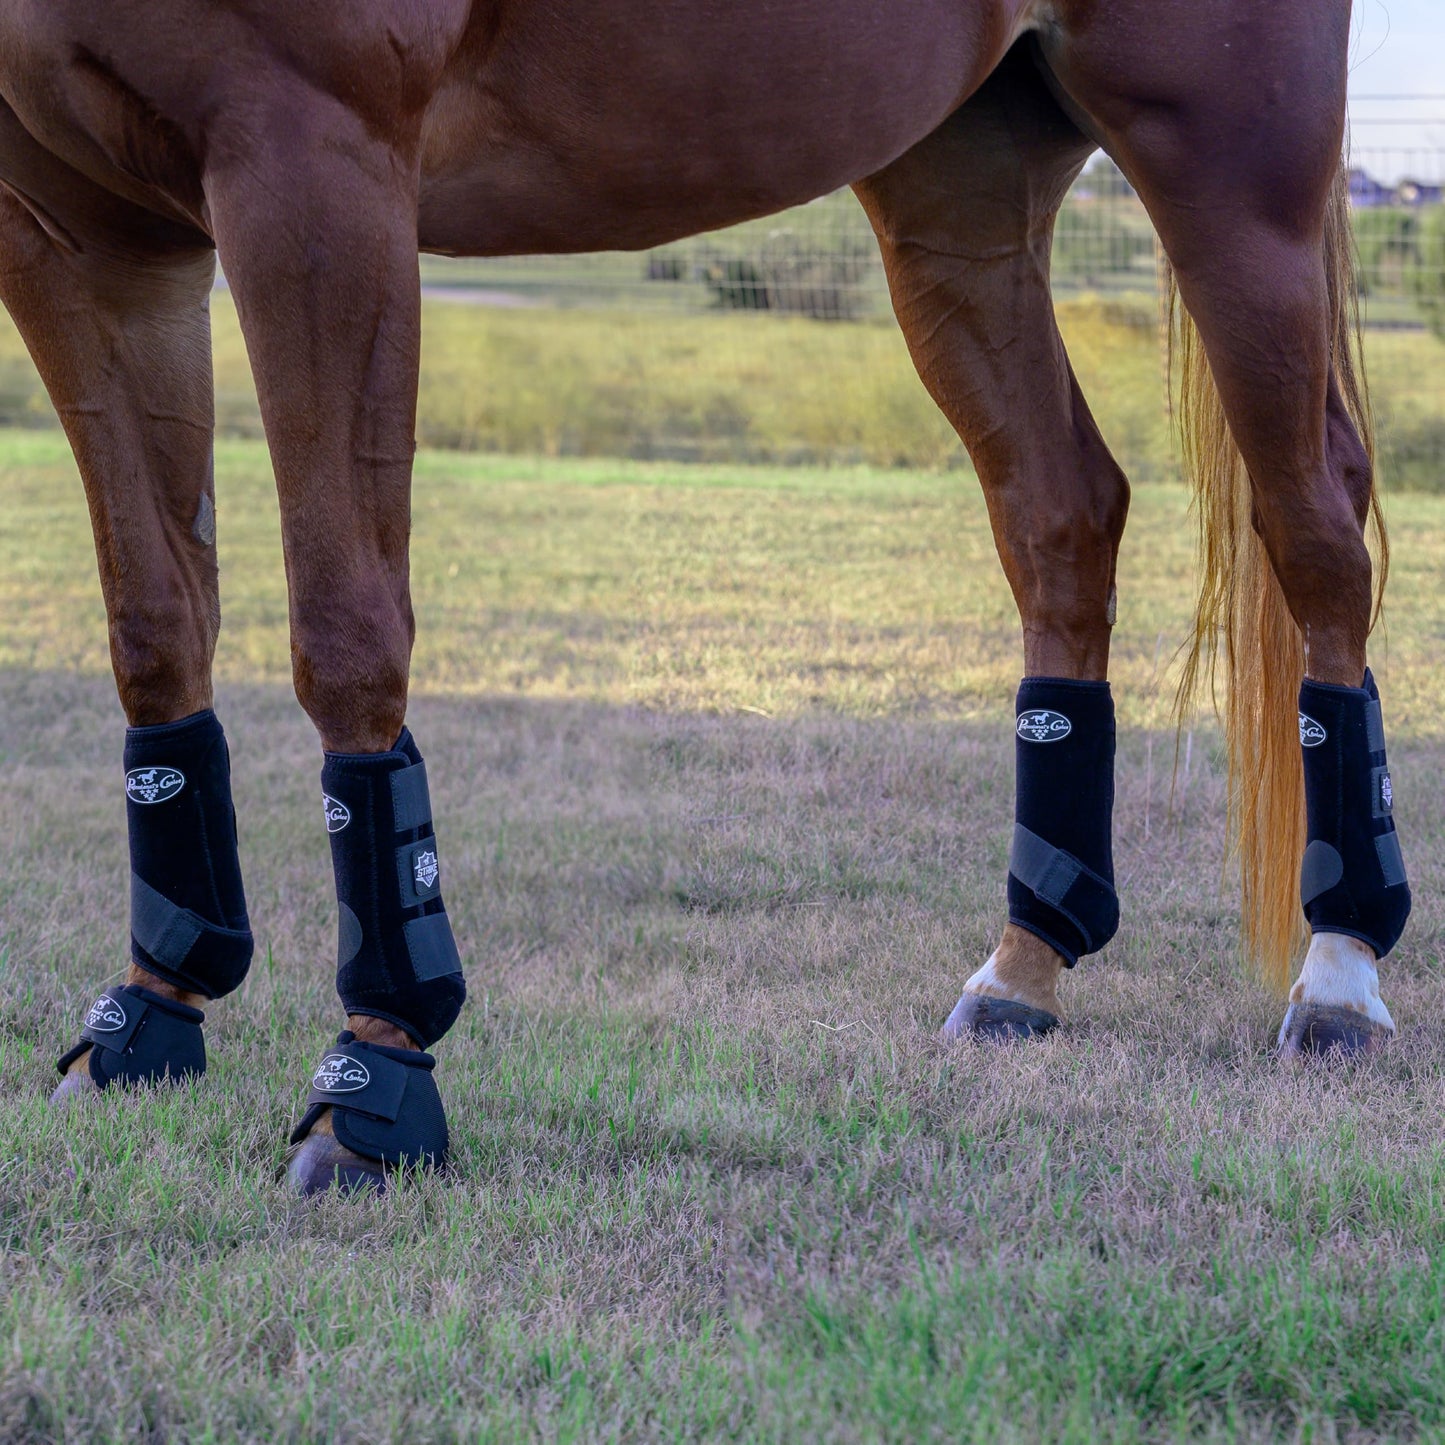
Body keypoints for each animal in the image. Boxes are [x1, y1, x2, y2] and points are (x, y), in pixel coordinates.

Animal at [0, 0, 1410, 1194]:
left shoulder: (310, 168)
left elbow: (345, 630)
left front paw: (375, 1077)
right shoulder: (79, 231)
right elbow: (154, 621)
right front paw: (149, 1011)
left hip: (1228, 170)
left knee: (1316, 525)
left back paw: (1338, 973)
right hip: (962, 192)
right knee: (1062, 514)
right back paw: (1024, 966)